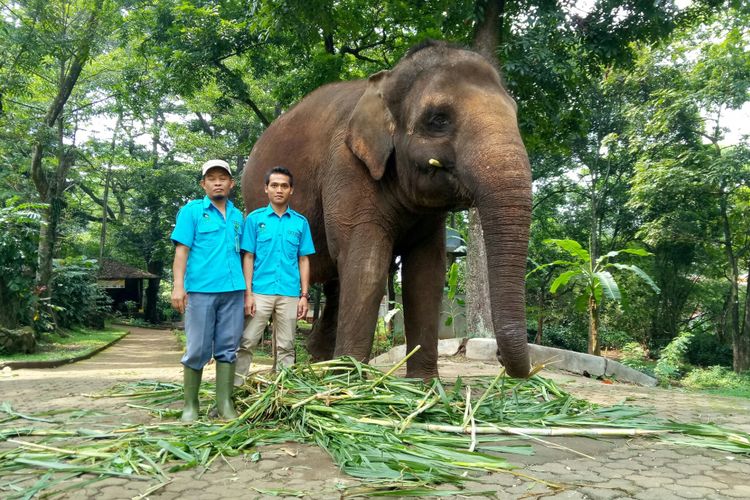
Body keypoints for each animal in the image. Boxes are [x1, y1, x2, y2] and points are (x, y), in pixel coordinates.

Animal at [244, 40, 532, 378]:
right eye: (438, 119)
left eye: (515, 113)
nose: (498, 355)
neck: (387, 81)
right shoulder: (347, 167)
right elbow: (367, 264)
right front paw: (352, 379)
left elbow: (427, 272)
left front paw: (422, 383)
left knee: (335, 283)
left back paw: (320, 362)